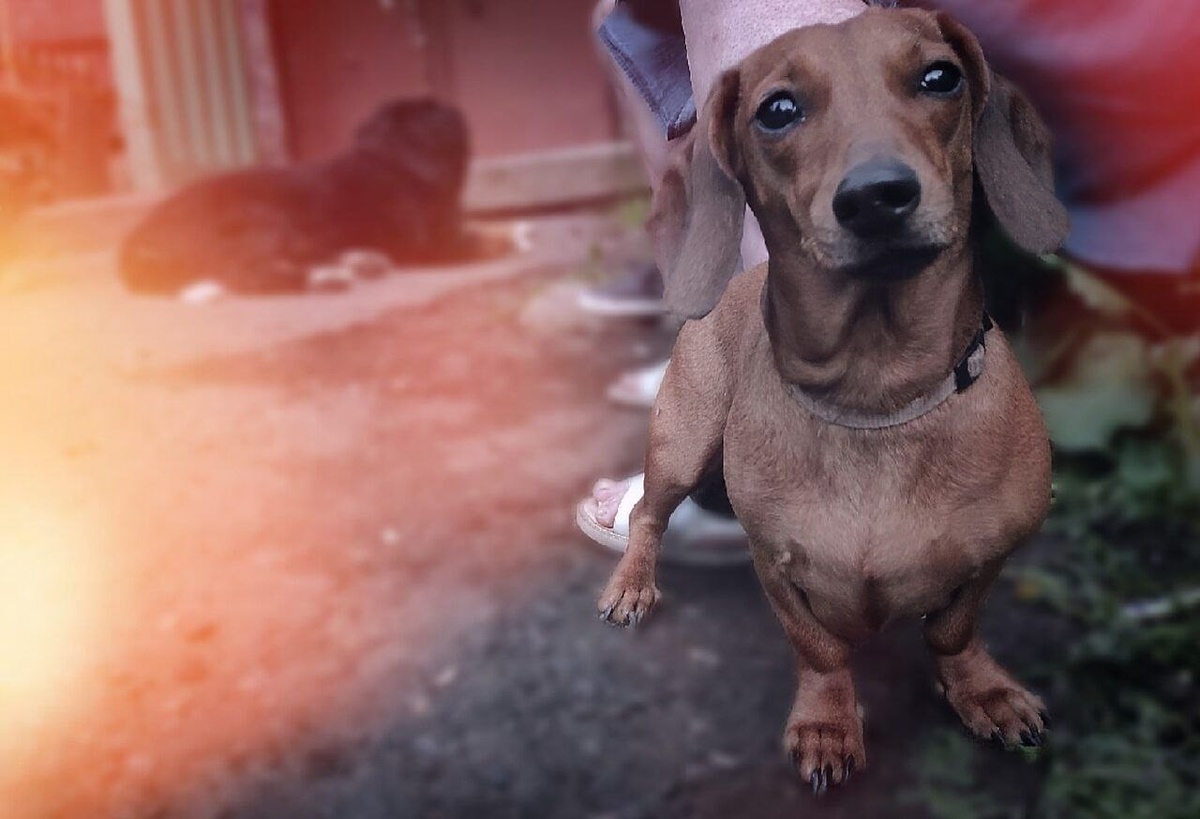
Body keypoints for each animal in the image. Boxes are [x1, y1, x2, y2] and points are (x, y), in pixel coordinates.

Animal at [119, 98, 470, 294]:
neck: (390, 157)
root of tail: (137, 242)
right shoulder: (433, 247)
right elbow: (477, 243)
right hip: (259, 219)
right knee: (245, 274)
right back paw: (320, 279)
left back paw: (355, 264)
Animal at [597, 7, 1068, 794]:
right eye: (778, 110)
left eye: (941, 77)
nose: (876, 196)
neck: (876, 397)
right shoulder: (775, 565)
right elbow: (818, 648)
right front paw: (826, 722)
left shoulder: (992, 555)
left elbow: (953, 629)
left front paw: (980, 688)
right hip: (680, 445)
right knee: (646, 516)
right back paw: (632, 584)